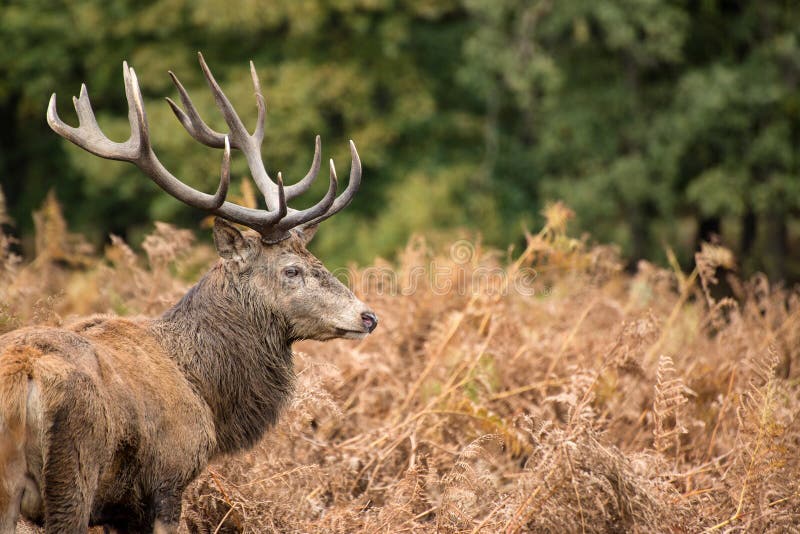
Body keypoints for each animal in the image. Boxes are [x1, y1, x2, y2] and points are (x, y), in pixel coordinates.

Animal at [0, 52, 378, 533]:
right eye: (291, 270)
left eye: (318, 261)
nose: (368, 316)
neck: (206, 392)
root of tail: (23, 376)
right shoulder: (168, 479)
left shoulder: (120, 508)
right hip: (72, 472)